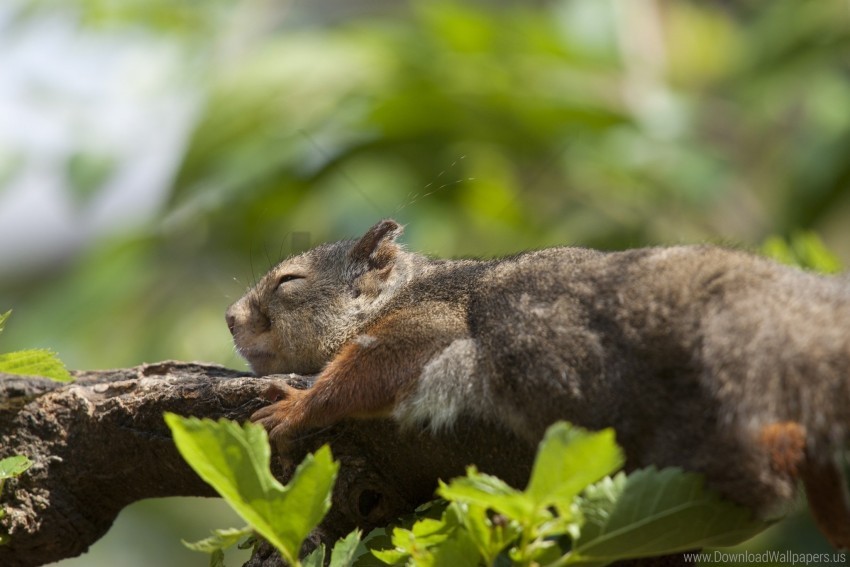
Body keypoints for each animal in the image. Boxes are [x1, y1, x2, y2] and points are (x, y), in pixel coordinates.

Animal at [225, 219, 848, 552]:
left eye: (289, 282)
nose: (229, 318)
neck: (403, 291)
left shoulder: (429, 323)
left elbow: (372, 370)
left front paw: (297, 406)